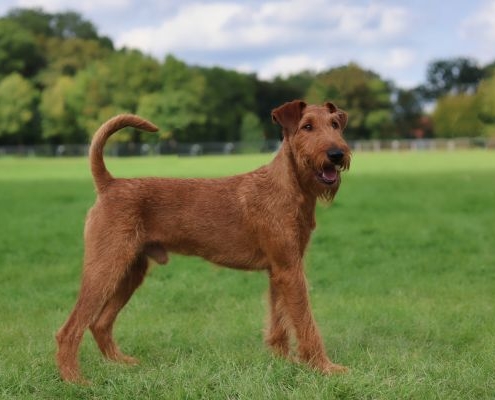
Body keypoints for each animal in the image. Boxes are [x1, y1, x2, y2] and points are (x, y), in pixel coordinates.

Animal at [56, 99, 352, 382]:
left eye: (335, 124)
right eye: (307, 127)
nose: (337, 154)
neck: (290, 186)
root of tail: (109, 184)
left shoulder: (280, 268)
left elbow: (279, 318)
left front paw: (283, 361)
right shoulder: (290, 270)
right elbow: (305, 322)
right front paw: (325, 367)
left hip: (131, 271)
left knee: (100, 323)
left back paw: (121, 364)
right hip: (105, 267)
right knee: (70, 329)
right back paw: (75, 380)